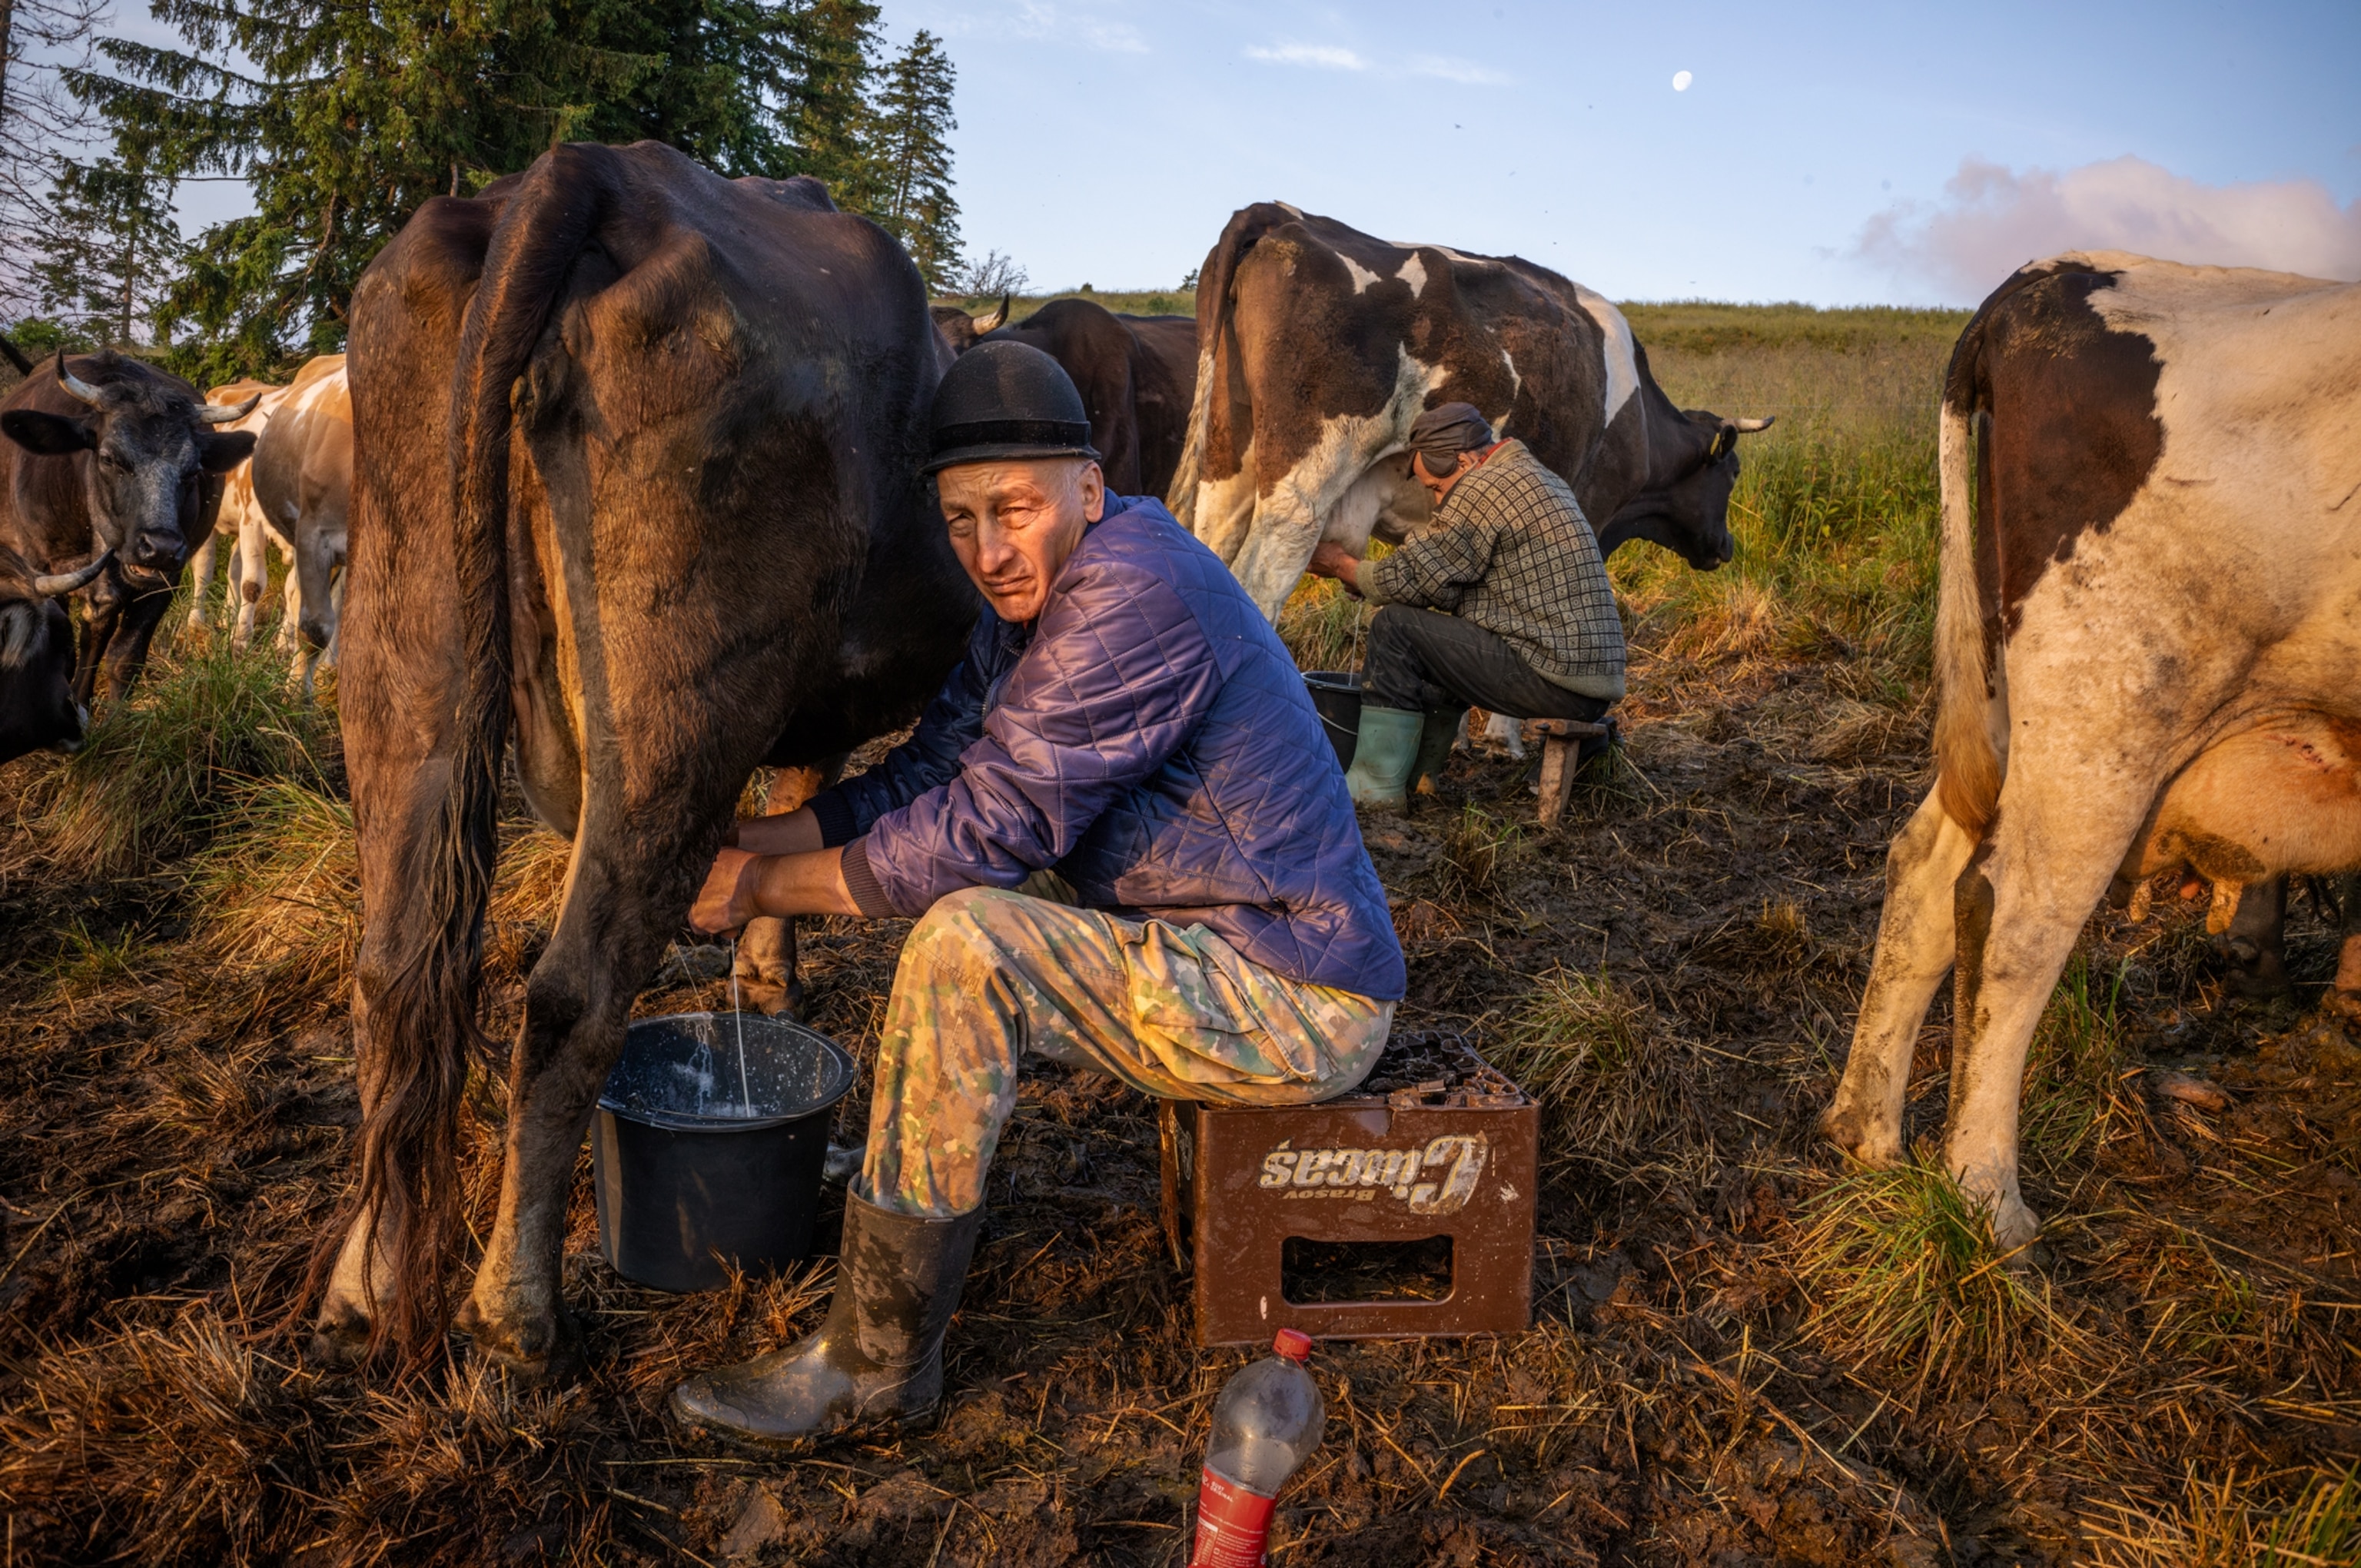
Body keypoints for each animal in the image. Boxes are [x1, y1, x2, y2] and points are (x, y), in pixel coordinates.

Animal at [316, 144, 977, 1369]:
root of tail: (591, 171)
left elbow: (806, 791)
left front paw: (766, 971)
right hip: (673, 712)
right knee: (568, 998)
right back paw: (514, 1316)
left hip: (403, 648)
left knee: (393, 978)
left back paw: (362, 1293)